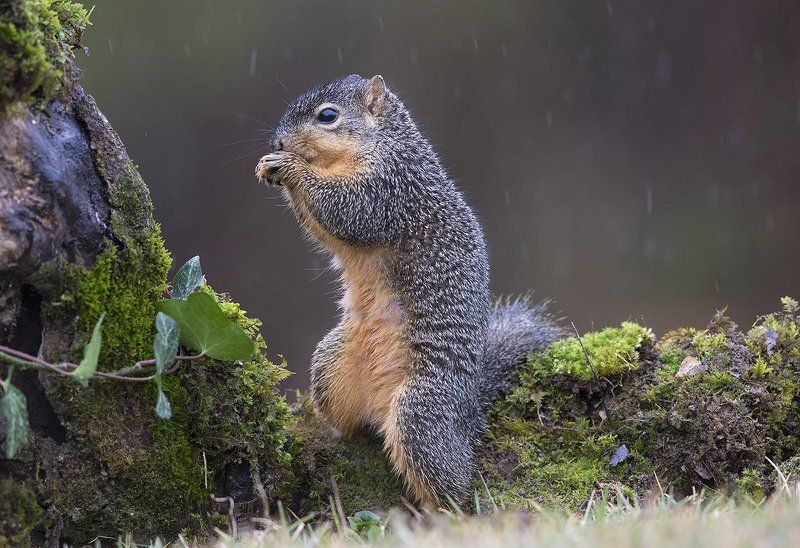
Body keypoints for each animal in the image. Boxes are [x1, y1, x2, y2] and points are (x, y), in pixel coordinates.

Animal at [255, 74, 562, 506]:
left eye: (327, 116)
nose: (277, 142)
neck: (384, 142)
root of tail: (468, 415)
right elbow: (326, 228)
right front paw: (271, 166)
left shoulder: (390, 189)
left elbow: (347, 211)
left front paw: (290, 167)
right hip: (331, 364)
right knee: (358, 424)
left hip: (420, 410)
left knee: (453, 480)